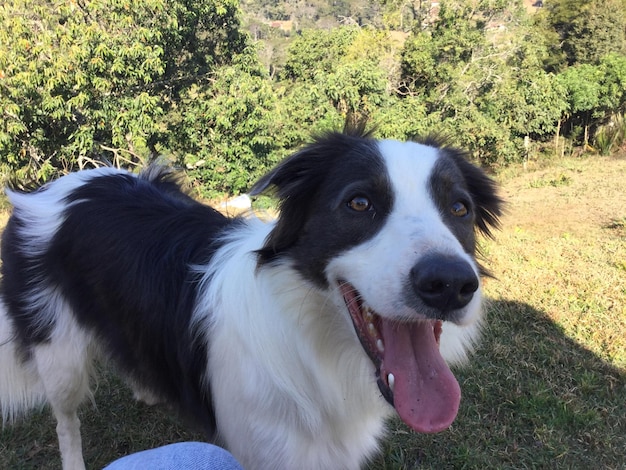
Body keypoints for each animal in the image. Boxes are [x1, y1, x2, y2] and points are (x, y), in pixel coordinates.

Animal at [0, 126, 500, 468]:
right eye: (359, 203)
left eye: (460, 208)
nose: (450, 284)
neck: (315, 351)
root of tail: (51, 187)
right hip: (58, 352)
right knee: (65, 420)